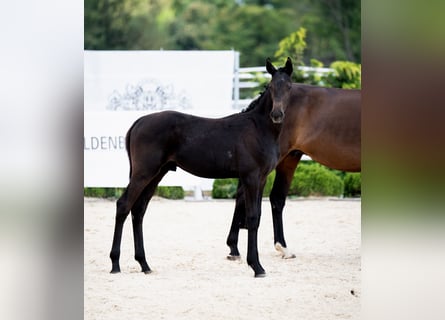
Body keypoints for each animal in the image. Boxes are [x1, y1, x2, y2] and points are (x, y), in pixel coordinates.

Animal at [109, 58, 294, 278]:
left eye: (289, 86)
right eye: (271, 87)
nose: (277, 114)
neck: (258, 128)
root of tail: (138, 122)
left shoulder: (261, 179)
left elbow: (256, 218)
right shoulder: (251, 177)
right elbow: (252, 218)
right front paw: (257, 267)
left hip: (156, 175)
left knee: (138, 210)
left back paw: (144, 264)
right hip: (143, 173)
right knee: (123, 205)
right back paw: (115, 264)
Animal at [225, 57, 360, 260]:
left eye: (288, 87)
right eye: (271, 86)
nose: (277, 115)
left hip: (289, 157)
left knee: (275, 198)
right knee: (248, 195)